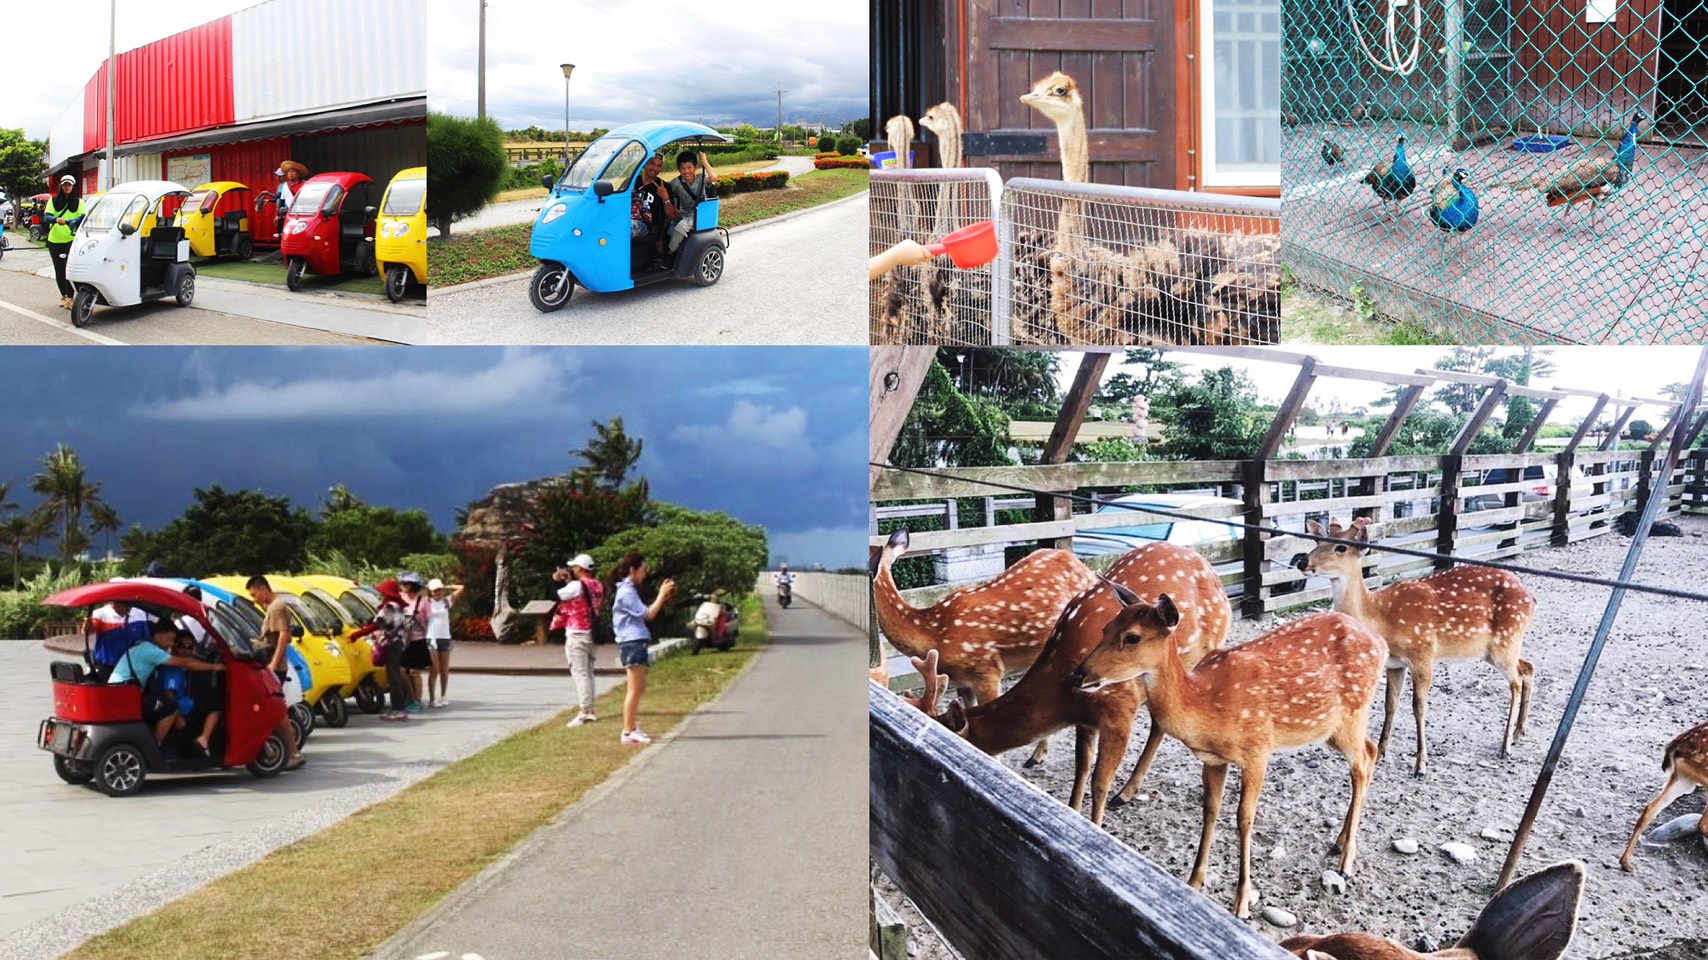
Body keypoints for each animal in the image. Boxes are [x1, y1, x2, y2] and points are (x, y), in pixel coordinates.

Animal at [922, 543, 1229, 826]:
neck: (1062, 693)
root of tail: (1214, 574)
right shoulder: (1085, 718)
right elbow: (1081, 768)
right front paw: (1073, 812)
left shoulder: (1119, 710)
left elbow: (1099, 782)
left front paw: (1096, 825)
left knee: (1163, 720)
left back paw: (1126, 792)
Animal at [1065, 597, 1386, 922]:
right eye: (1105, 628)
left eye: (1132, 637)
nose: (1078, 674)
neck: (1207, 705)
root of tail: (1381, 643)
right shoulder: (1214, 760)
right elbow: (1210, 810)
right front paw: (1194, 881)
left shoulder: (1258, 749)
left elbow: (1244, 818)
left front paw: (1241, 903)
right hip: (1332, 728)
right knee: (1371, 752)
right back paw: (1339, 842)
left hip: (1352, 714)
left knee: (1361, 765)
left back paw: (1345, 863)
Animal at [1304, 512, 1537, 772]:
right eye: (1317, 541)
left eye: (1341, 547)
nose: (1302, 562)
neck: (1381, 617)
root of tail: (1531, 598)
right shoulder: (1395, 664)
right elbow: (1390, 704)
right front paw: (1382, 751)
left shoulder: (1423, 653)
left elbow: (1419, 706)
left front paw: (1421, 764)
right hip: (1502, 645)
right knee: (1528, 668)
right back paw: (1518, 733)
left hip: (1504, 642)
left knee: (1516, 681)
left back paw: (1505, 745)